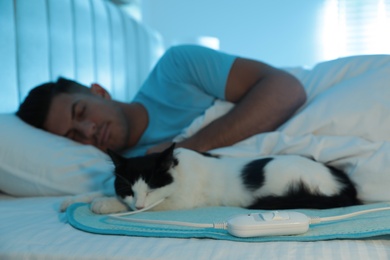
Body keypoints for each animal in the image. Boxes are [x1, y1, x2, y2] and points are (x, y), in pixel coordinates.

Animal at [108, 143, 362, 212]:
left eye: (151, 189)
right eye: (128, 190)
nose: (138, 203)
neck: (180, 169)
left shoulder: (183, 201)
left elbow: (151, 208)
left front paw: (107, 205)